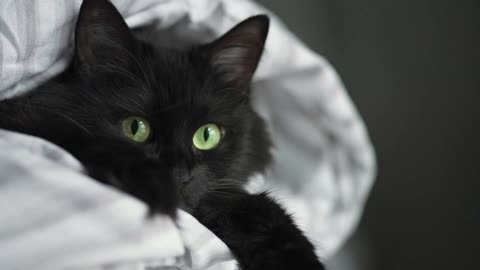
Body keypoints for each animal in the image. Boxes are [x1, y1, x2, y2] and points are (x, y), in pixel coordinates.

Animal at [0, 1, 326, 268]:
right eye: (135, 128)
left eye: (207, 135)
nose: (179, 174)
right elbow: (79, 137)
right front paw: (151, 185)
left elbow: (259, 209)